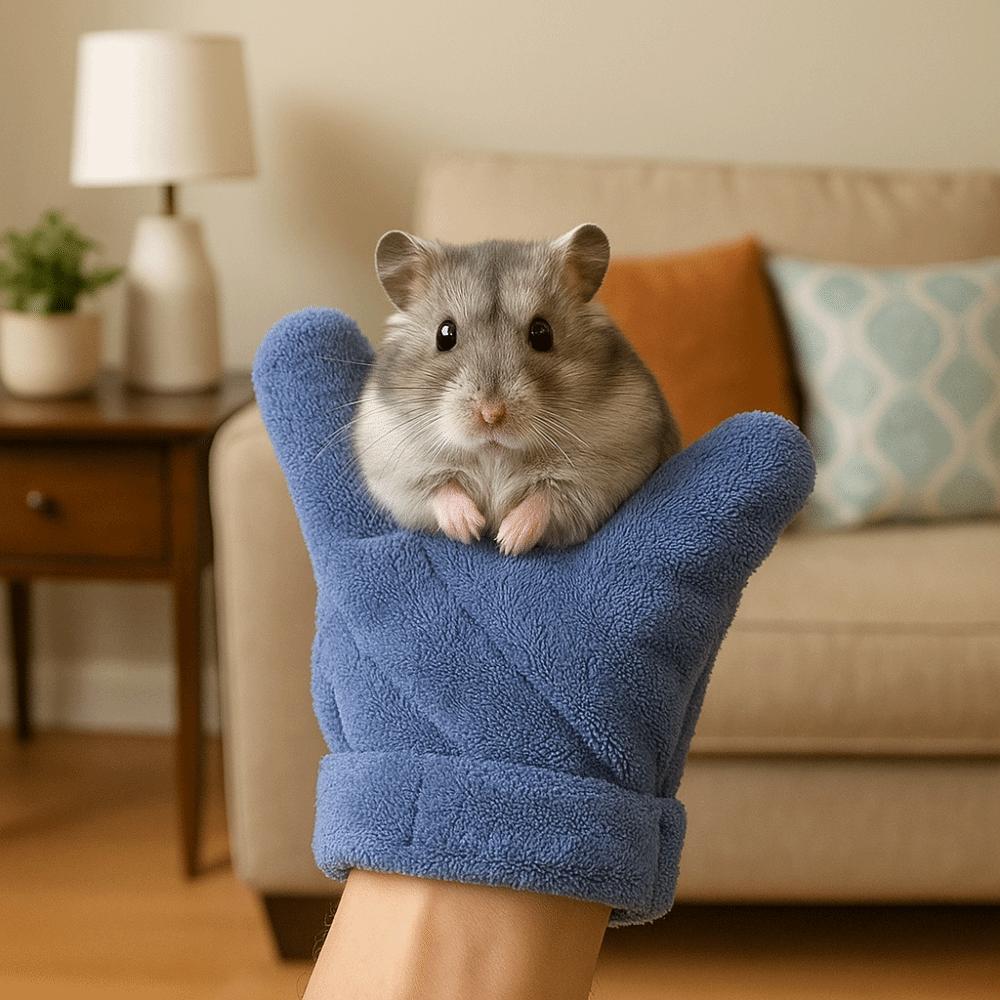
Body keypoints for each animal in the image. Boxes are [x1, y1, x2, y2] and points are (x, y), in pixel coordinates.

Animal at [352, 223, 681, 555]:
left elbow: (545, 498)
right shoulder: (401, 472)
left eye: (542, 333)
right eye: (444, 334)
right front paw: (470, 529)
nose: (491, 415)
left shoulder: (597, 478)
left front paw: (508, 542)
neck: (495, 452)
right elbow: (441, 489)